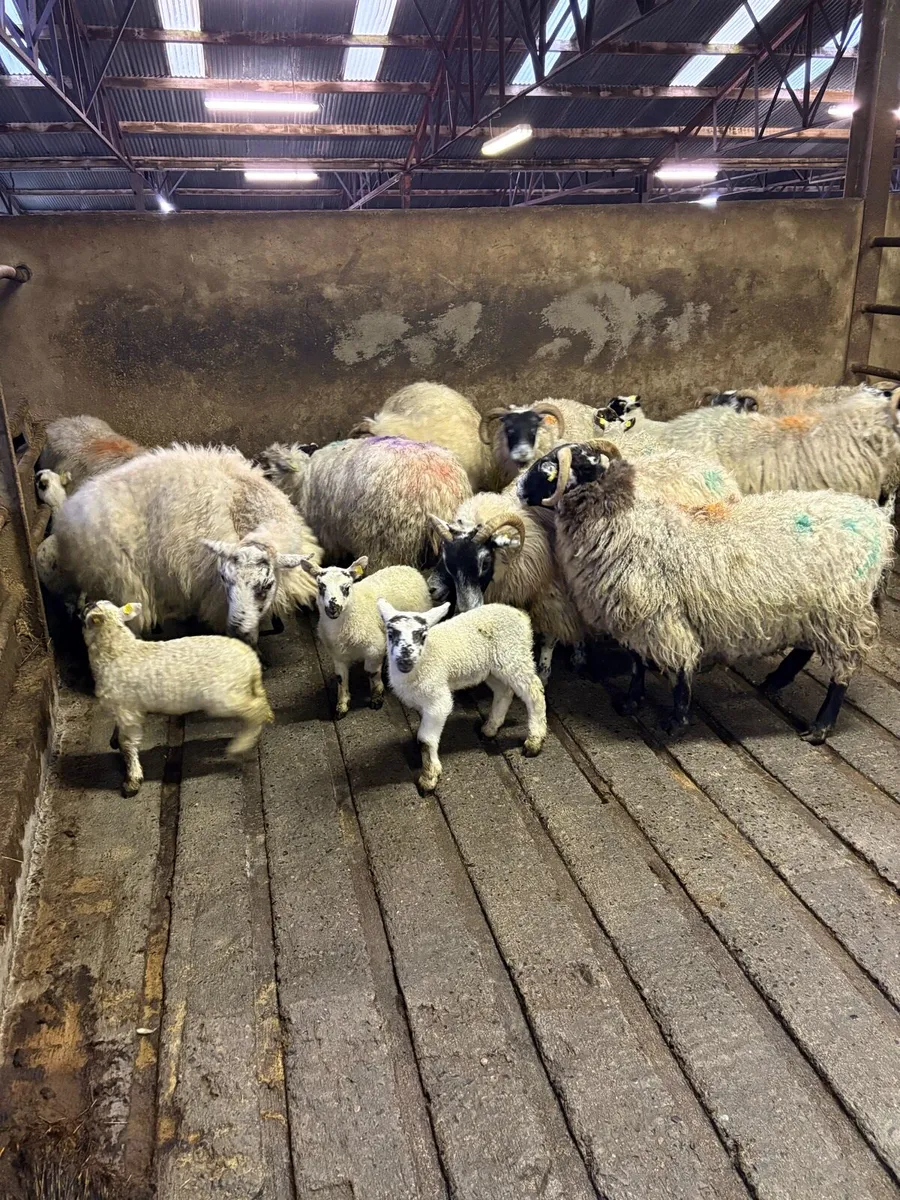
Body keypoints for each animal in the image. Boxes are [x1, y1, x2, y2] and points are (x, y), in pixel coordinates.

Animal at [50, 444, 322, 645]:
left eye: (266, 585)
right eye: (224, 580)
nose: (237, 631)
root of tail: (66, 519)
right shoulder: (216, 594)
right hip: (121, 578)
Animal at [83, 600, 273, 796]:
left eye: (88, 610)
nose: (88, 602)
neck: (117, 649)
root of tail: (251, 661)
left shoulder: (126, 709)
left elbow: (127, 743)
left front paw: (132, 781)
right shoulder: (126, 706)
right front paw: (114, 741)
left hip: (224, 697)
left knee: (256, 709)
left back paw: (239, 746)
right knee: (259, 706)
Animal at [302, 556, 432, 716]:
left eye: (346, 588)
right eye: (321, 587)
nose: (333, 608)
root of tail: (408, 568)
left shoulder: (374, 647)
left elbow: (371, 672)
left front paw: (376, 698)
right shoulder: (337, 654)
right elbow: (340, 677)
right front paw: (342, 704)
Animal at [377, 600, 546, 793]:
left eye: (422, 635)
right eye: (391, 634)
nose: (405, 660)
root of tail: (520, 615)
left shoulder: (438, 699)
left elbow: (425, 740)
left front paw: (429, 778)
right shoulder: (422, 701)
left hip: (514, 656)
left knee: (534, 691)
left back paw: (534, 742)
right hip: (492, 668)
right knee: (504, 691)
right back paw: (490, 728)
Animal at [517, 439, 895, 743]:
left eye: (548, 468)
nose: (518, 489)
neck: (629, 524)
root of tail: (875, 519)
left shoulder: (661, 617)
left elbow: (679, 670)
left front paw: (676, 720)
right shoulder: (633, 615)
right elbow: (638, 662)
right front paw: (631, 702)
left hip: (842, 611)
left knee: (842, 670)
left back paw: (820, 727)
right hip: (816, 609)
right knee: (805, 647)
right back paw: (776, 680)